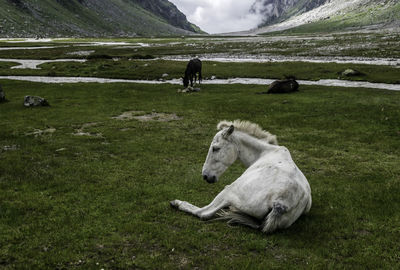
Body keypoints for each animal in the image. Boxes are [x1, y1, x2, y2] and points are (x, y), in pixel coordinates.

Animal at [170, 119, 312, 233]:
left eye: (215, 148)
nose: (205, 176)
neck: (266, 152)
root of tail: (281, 203)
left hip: (228, 191)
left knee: (203, 212)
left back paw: (177, 203)